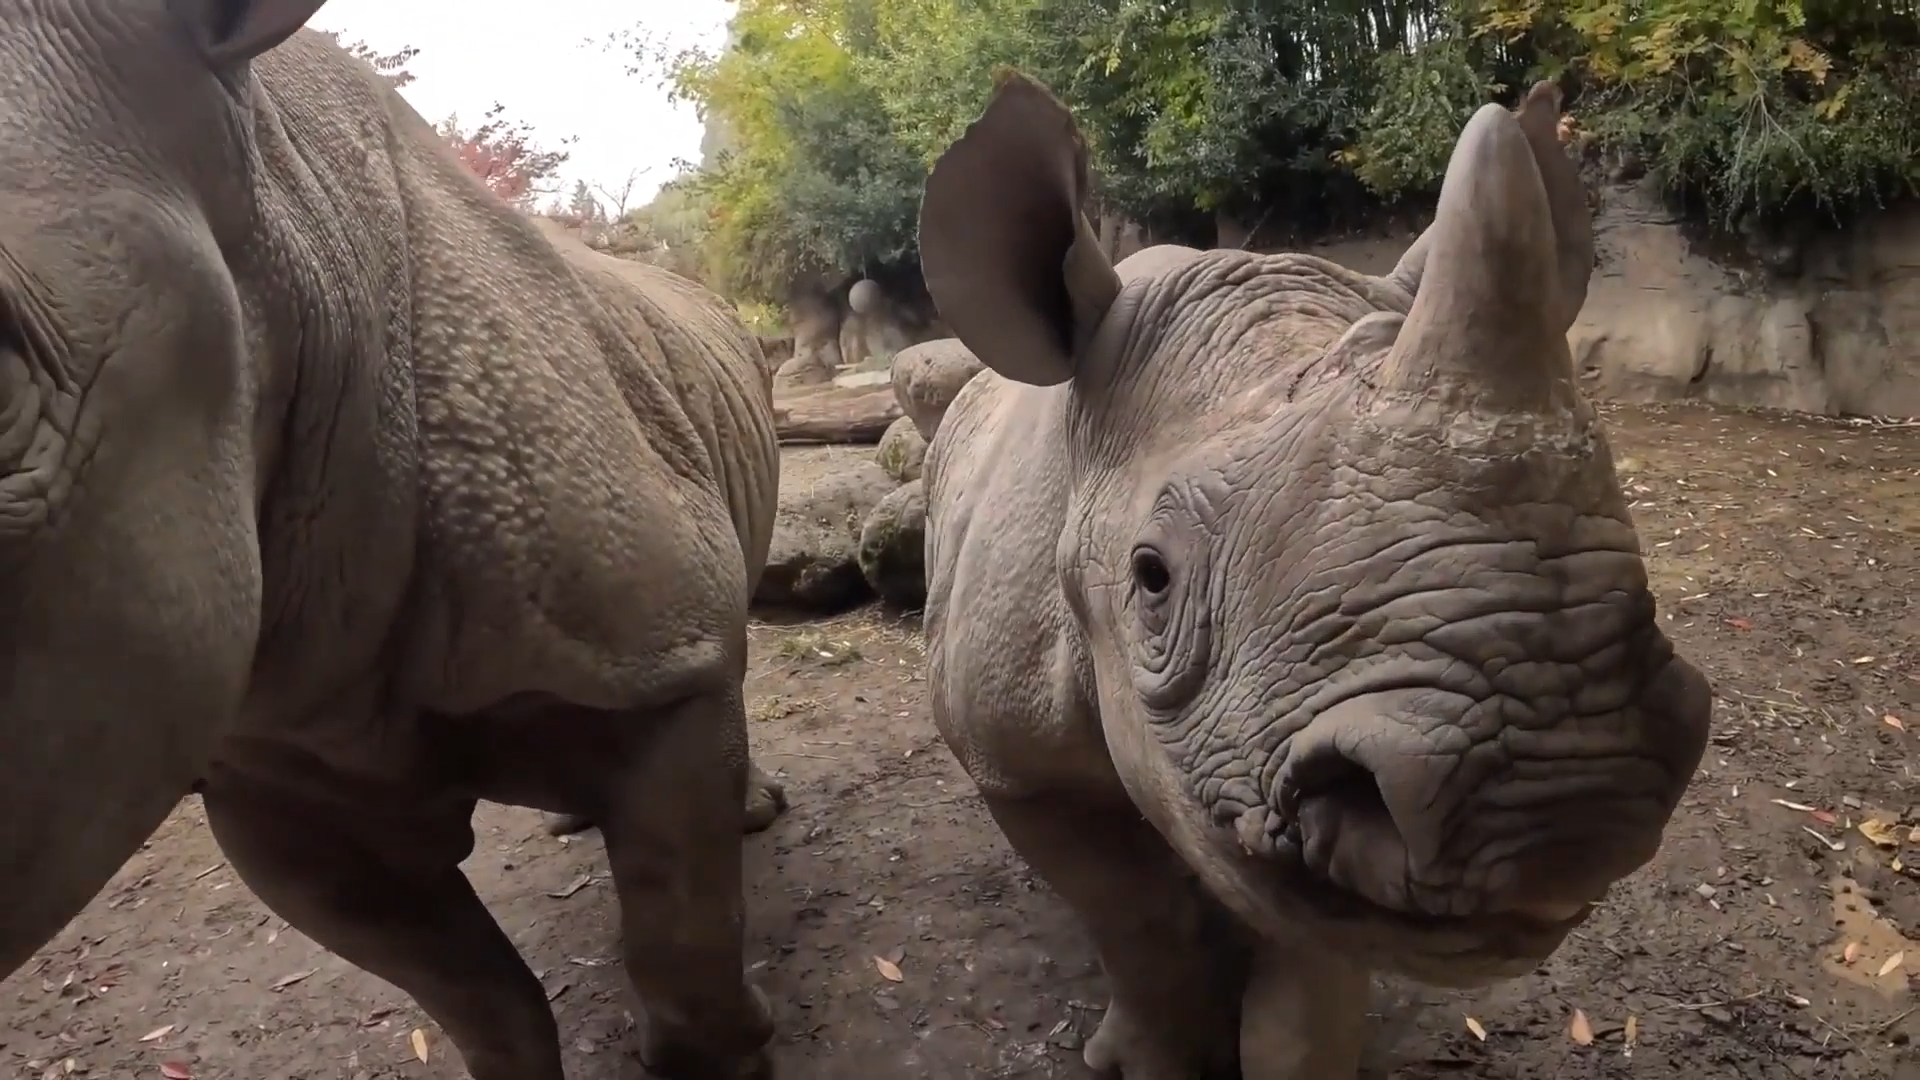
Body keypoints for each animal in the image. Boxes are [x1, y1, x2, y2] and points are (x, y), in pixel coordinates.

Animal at [918, 74, 1713, 1078]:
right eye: (1151, 578)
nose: (1564, 795)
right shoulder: (1011, 762)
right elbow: (1134, 919)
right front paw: (1139, 1057)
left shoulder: (1274, 787)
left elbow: (1306, 972)